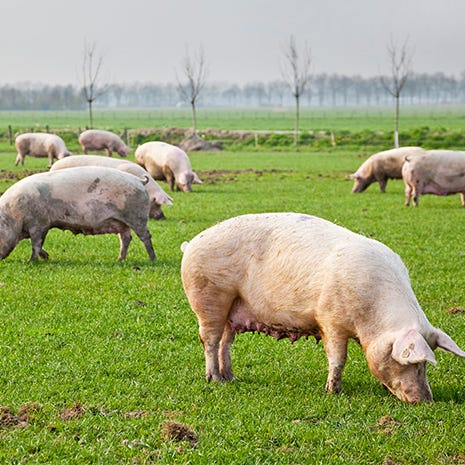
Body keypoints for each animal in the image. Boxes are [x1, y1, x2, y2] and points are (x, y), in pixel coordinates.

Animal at [0, 166, 156, 260]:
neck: (14, 214)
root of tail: (139, 181)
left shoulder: (39, 223)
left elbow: (36, 243)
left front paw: (31, 261)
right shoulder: (43, 225)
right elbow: (38, 243)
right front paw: (47, 257)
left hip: (137, 217)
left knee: (145, 236)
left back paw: (152, 259)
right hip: (122, 222)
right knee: (126, 238)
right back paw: (119, 260)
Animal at [181, 212, 464, 400]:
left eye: (425, 364)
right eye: (414, 362)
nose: (425, 401)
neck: (370, 320)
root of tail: (190, 243)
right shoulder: (330, 320)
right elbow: (338, 358)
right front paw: (333, 392)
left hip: (231, 307)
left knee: (226, 342)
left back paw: (230, 377)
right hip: (208, 298)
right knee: (209, 340)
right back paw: (214, 380)